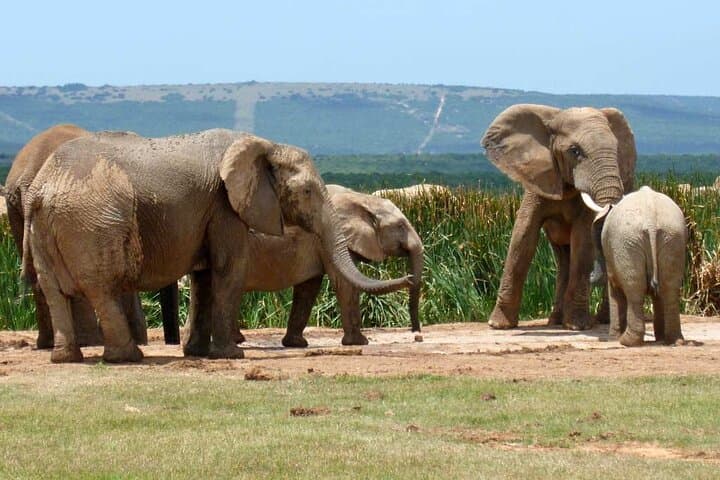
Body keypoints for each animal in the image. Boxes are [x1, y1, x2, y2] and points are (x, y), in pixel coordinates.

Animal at [23, 129, 411, 363]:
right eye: (306, 192)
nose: (410, 279)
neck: (265, 144)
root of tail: (42, 190)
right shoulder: (224, 205)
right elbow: (227, 270)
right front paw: (229, 356)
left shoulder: (210, 210)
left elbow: (205, 277)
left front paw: (198, 353)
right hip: (92, 224)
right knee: (102, 286)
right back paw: (127, 357)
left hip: (45, 228)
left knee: (54, 289)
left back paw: (67, 358)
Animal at [481, 104, 636, 330]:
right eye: (575, 151)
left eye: (616, 150)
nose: (593, 276)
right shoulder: (538, 179)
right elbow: (523, 237)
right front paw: (498, 325)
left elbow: (583, 241)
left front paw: (577, 326)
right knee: (563, 258)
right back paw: (557, 321)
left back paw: (599, 321)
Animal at [584, 187, 687, 346]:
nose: (589, 275)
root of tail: (651, 221)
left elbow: (614, 289)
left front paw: (612, 339)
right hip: (672, 238)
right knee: (669, 287)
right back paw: (673, 341)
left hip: (627, 243)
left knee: (634, 290)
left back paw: (626, 341)